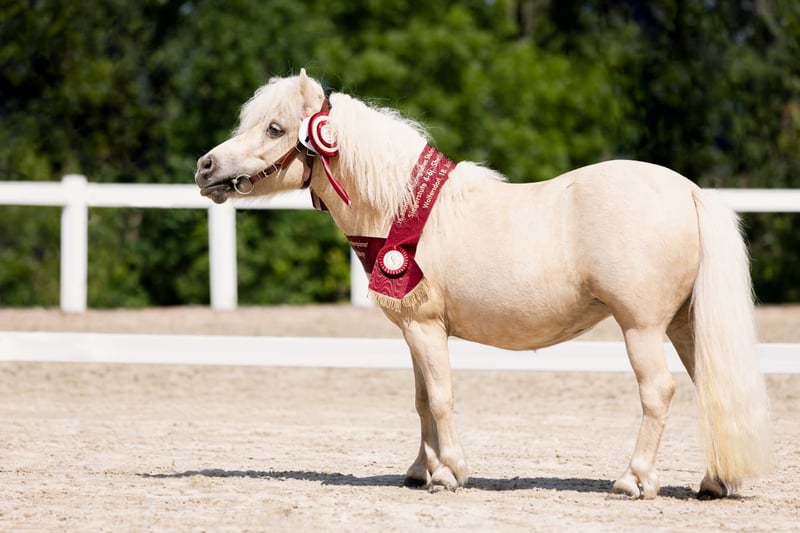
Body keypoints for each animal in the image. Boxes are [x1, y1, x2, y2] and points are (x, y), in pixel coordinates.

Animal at [194, 69, 771, 500]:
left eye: (274, 128)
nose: (204, 167)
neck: (402, 210)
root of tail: (689, 191)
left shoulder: (426, 328)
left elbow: (441, 397)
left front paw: (449, 473)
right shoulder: (414, 333)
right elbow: (422, 400)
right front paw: (420, 472)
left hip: (643, 327)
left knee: (658, 392)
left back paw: (634, 480)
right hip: (684, 325)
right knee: (710, 388)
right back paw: (714, 482)